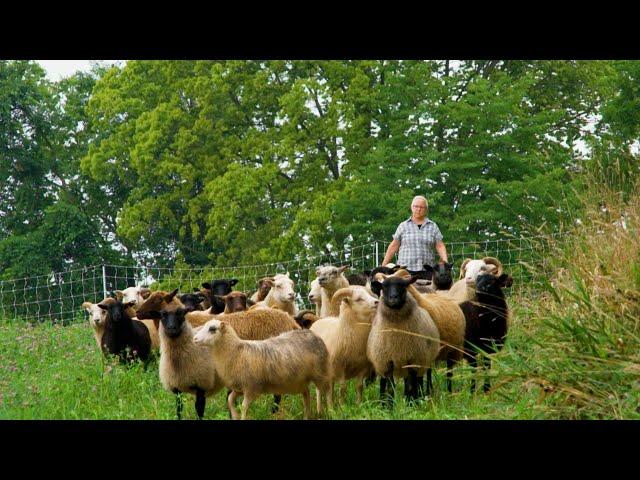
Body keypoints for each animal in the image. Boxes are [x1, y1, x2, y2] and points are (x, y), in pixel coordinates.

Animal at [364, 276, 440, 406]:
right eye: (384, 286)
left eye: (404, 286)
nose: (393, 297)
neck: (397, 334)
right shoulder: (387, 361)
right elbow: (390, 387)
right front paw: (389, 406)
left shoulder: (413, 359)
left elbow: (412, 385)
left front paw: (412, 404)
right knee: (384, 383)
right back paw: (383, 402)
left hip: (423, 359)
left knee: (420, 379)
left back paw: (421, 396)